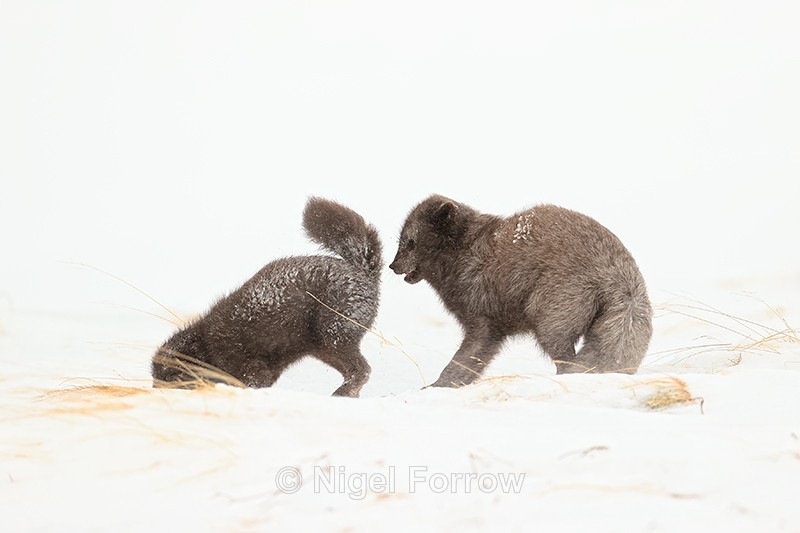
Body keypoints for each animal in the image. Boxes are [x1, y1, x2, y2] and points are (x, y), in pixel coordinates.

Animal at [151, 197, 382, 397]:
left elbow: (253, 381)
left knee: (361, 369)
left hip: (334, 335)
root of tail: (364, 273)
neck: (206, 343)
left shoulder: (243, 363)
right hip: (325, 347)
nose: (155, 389)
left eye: (169, 375)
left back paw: (341, 393)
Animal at [389, 194, 652, 387]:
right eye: (401, 242)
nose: (392, 266)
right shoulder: (492, 330)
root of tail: (617, 271)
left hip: (550, 320)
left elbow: (461, 362)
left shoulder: (483, 323)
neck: (464, 252)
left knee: (567, 361)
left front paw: (436, 387)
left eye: (410, 243)